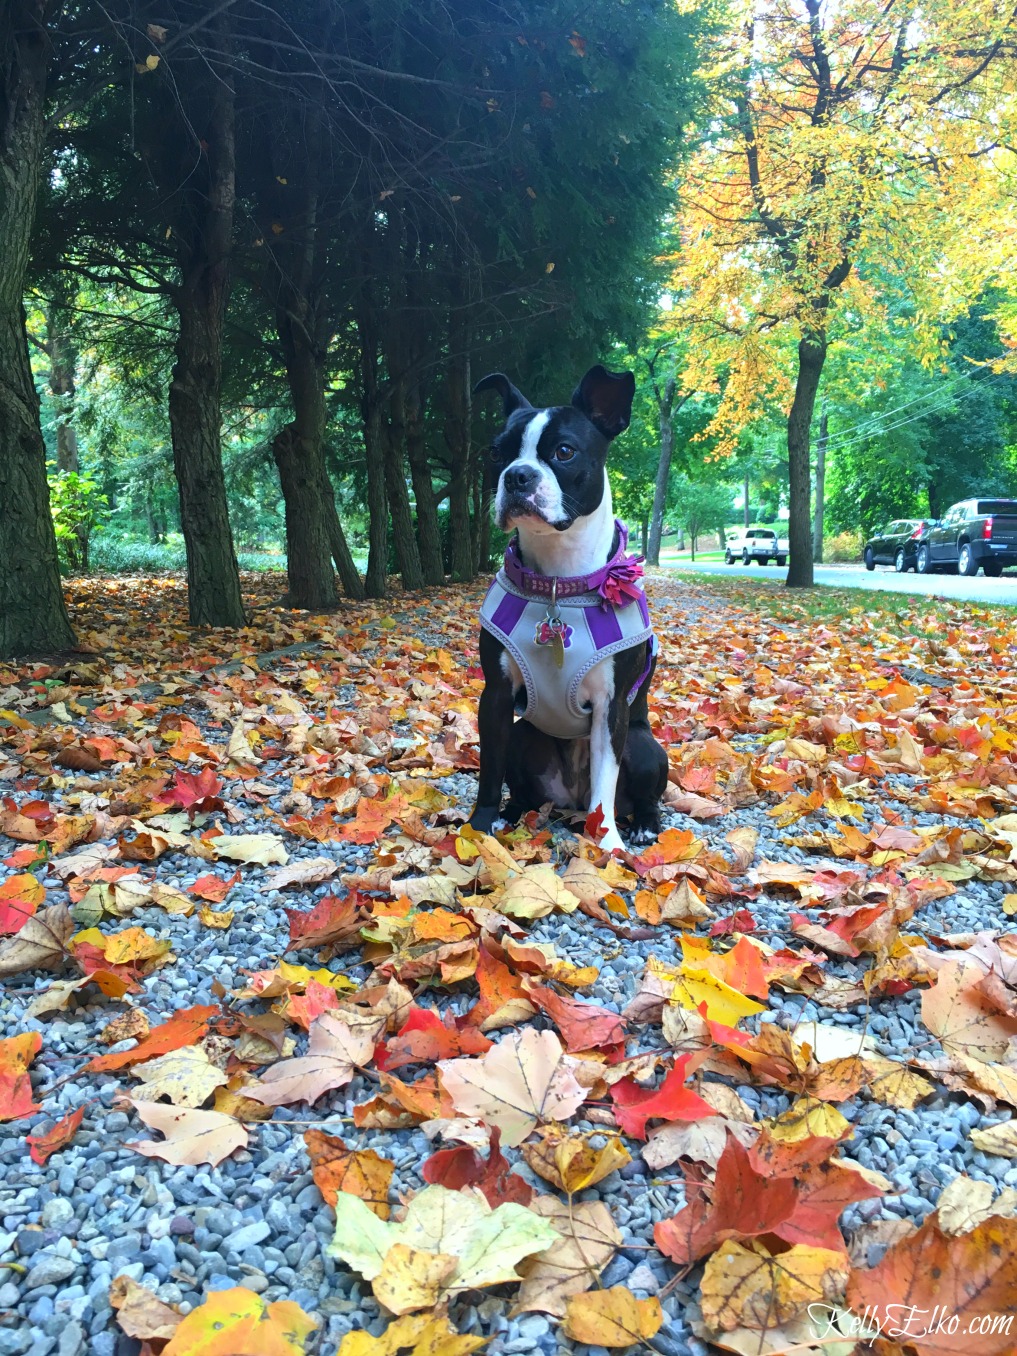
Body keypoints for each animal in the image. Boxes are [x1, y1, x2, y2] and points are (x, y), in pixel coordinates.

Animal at [469, 360, 669, 846]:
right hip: (524, 734)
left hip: (643, 744)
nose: (517, 475)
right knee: (520, 781)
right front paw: (479, 826)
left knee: (636, 793)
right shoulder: (495, 696)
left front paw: (608, 843)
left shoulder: (612, 709)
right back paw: (513, 813)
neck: (558, 584)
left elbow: (605, 779)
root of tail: (570, 803)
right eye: (496, 453)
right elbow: (489, 770)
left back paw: (642, 827)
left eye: (563, 452)